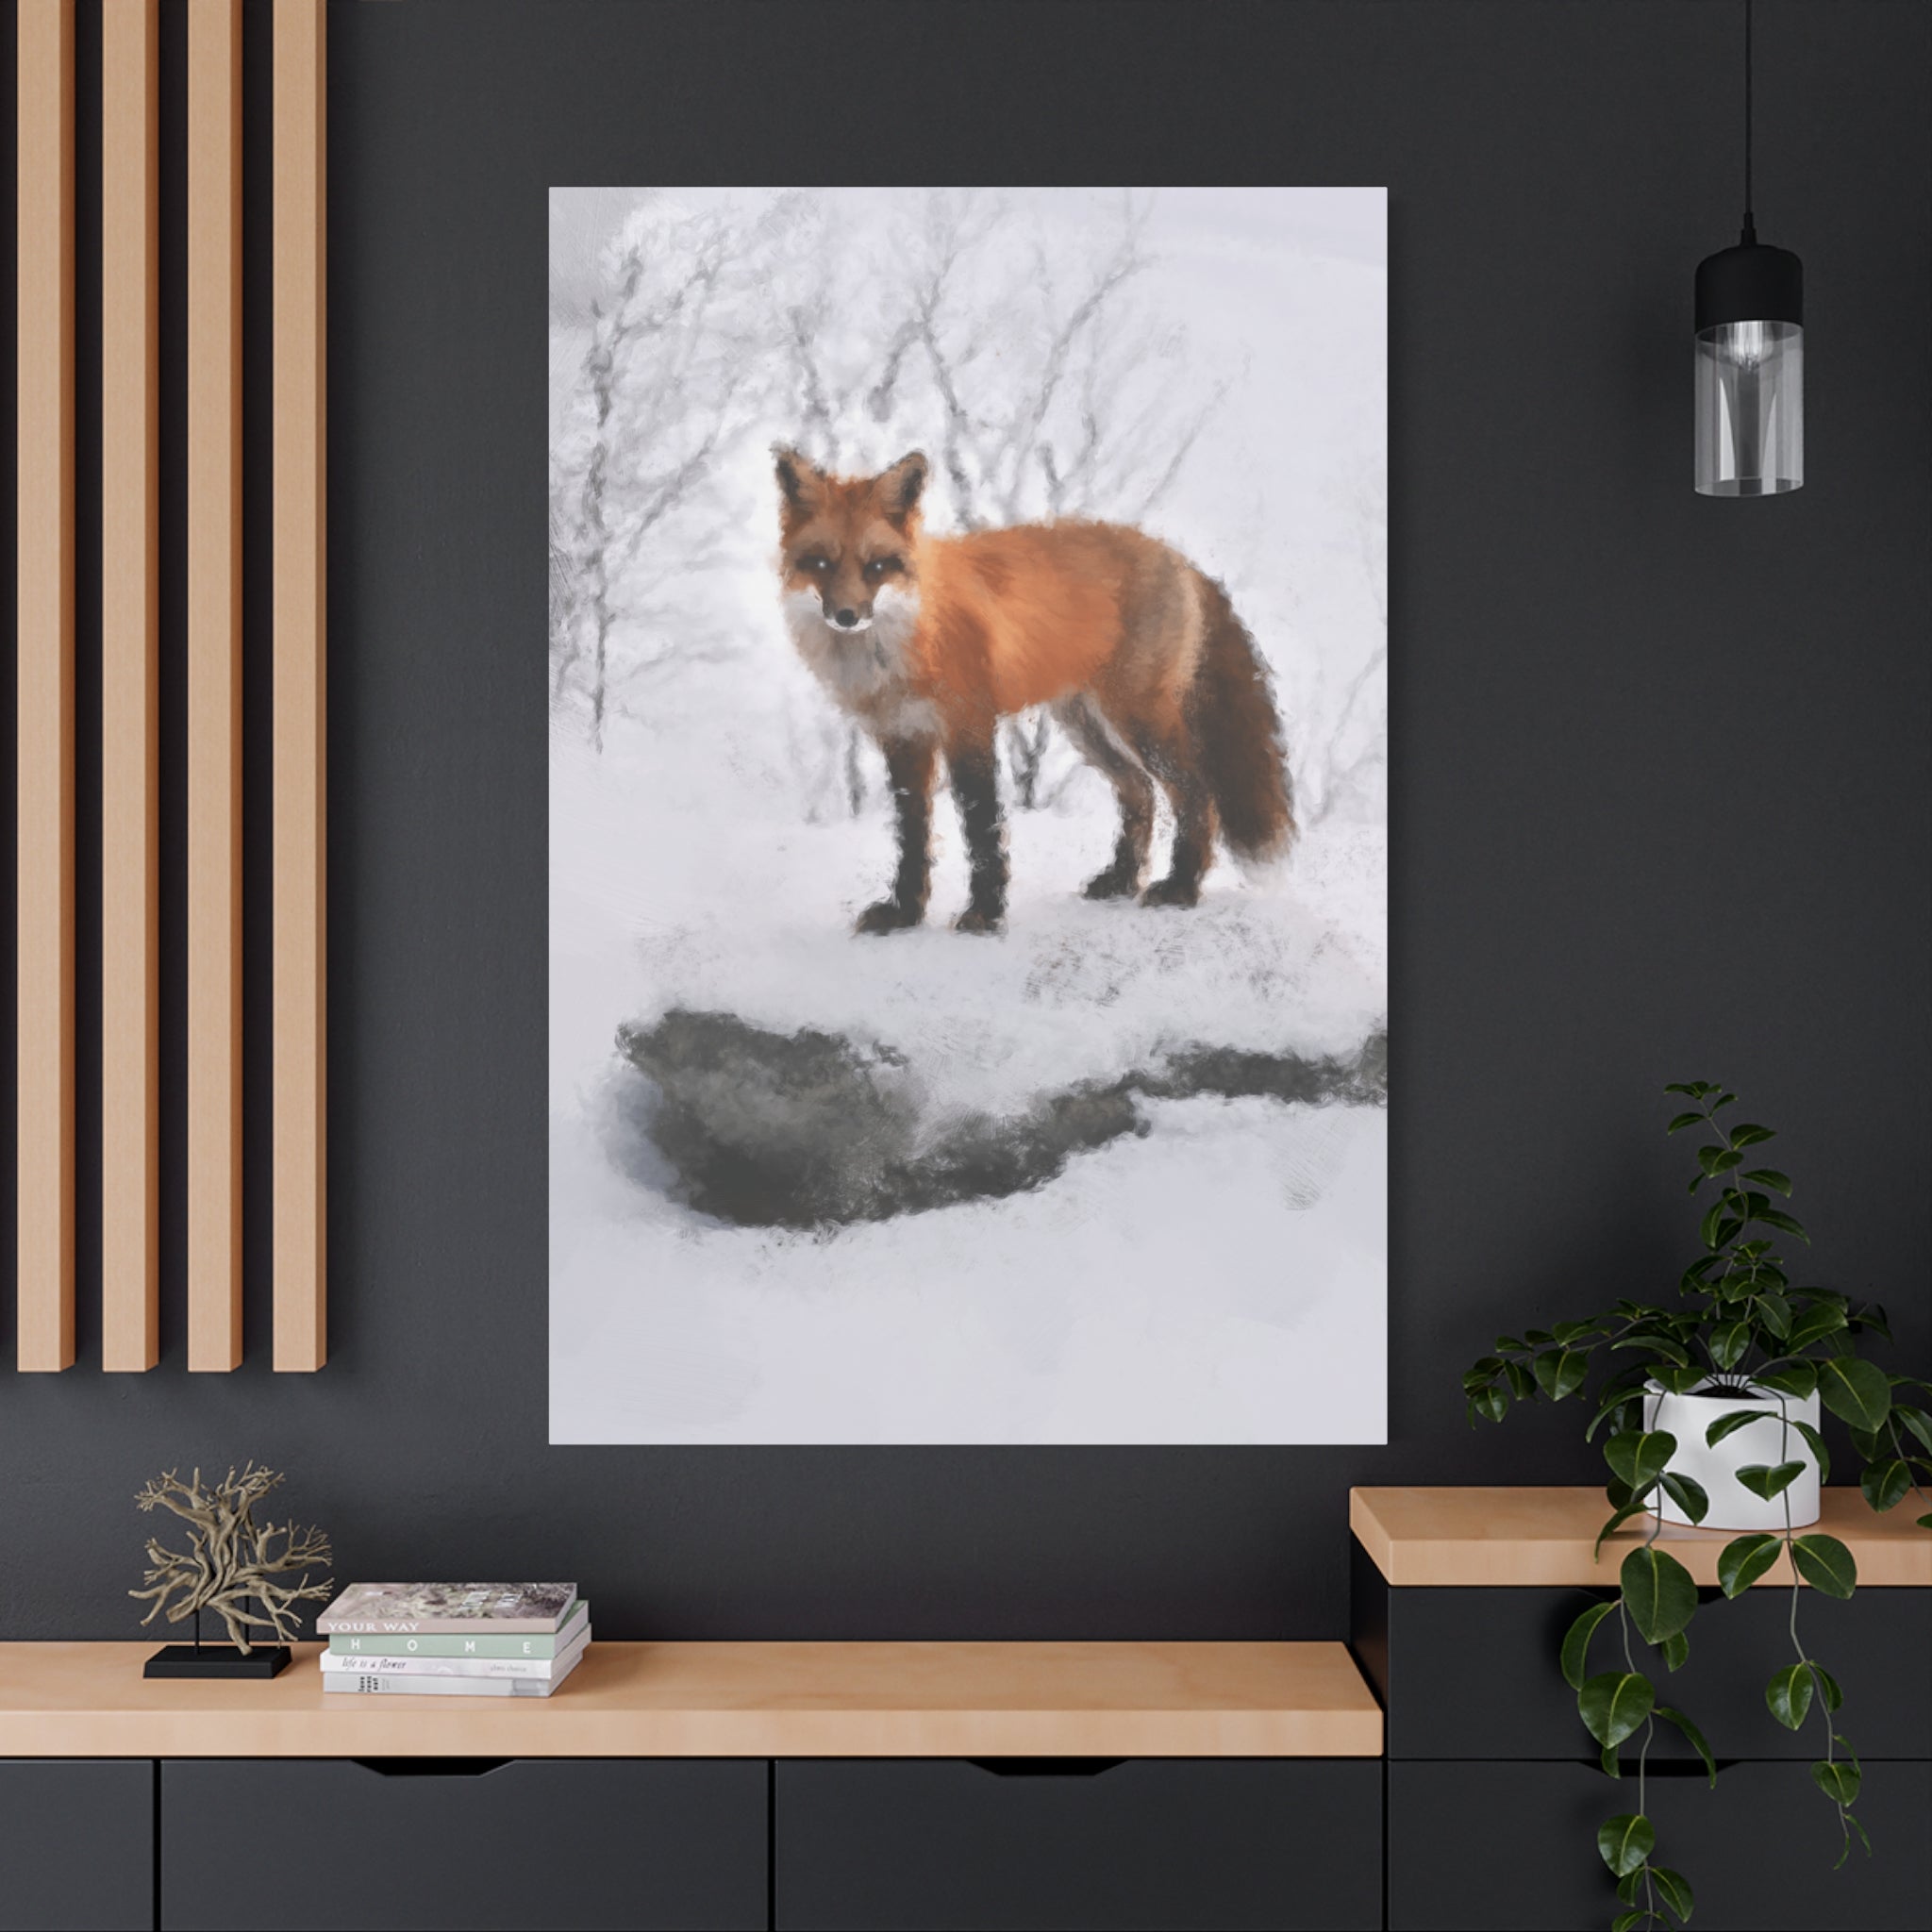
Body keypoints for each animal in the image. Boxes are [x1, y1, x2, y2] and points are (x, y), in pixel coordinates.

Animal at [775, 445, 1294, 935]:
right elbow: (912, 836)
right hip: (1087, 726)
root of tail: (1178, 557)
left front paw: (985, 914)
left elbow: (982, 828)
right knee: (1140, 793)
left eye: (877, 566)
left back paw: (1182, 888)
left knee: (1196, 795)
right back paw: (1122, 880)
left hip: (1139, 720)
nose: (847, 616)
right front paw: (904, 914)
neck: (906, 639)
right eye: (820, 563)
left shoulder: (969, 725)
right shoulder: (903, 738)